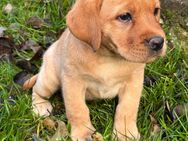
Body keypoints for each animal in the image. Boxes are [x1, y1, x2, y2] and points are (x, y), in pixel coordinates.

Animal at [27, 0, 166, 140]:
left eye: (156, 11)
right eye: (124, 16)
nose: (159, 42)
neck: (108, 58)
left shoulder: (133, 82)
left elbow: (127, 108)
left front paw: (125, 133)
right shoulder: (73, 82)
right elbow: (78, 109)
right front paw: (84, 133)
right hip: (50, 79)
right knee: (36, 89)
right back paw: (40, 106)